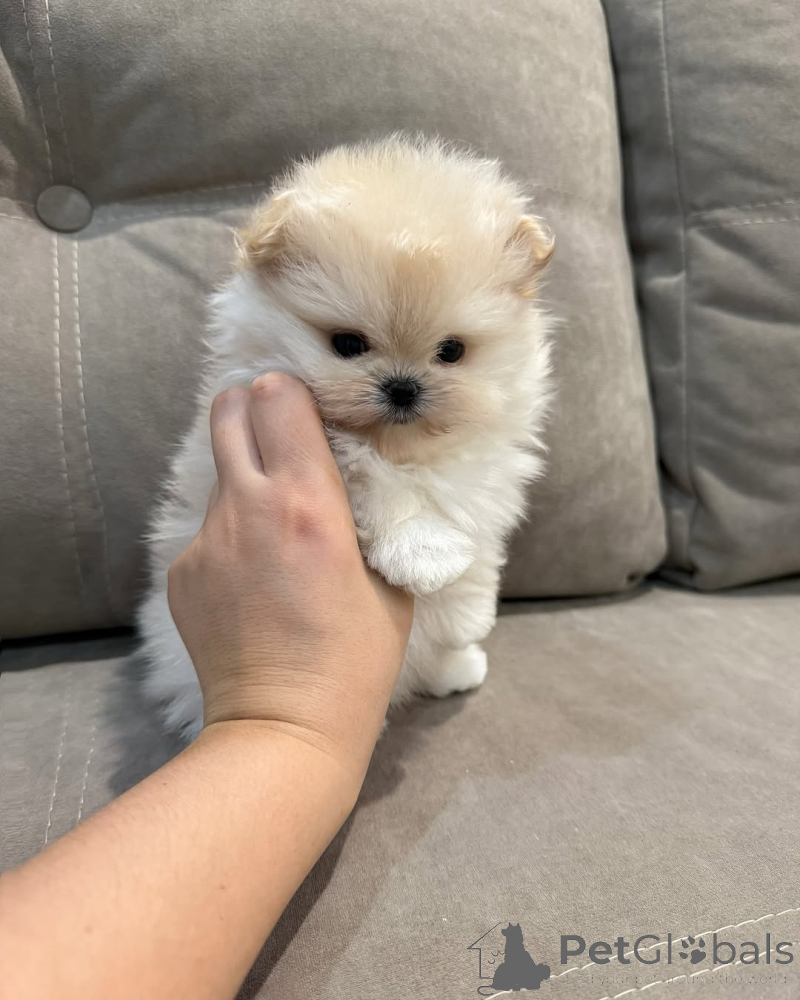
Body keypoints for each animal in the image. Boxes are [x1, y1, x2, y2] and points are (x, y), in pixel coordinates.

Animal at [138, 134, 555, 738]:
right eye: (348, 344)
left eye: (451, 351)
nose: (402, 387)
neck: (402, 448)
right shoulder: (326, 446)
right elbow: (378, 486)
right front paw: (424, 553)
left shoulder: (485, 467)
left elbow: (471, 531)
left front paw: (465, 614)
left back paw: (454, 667)